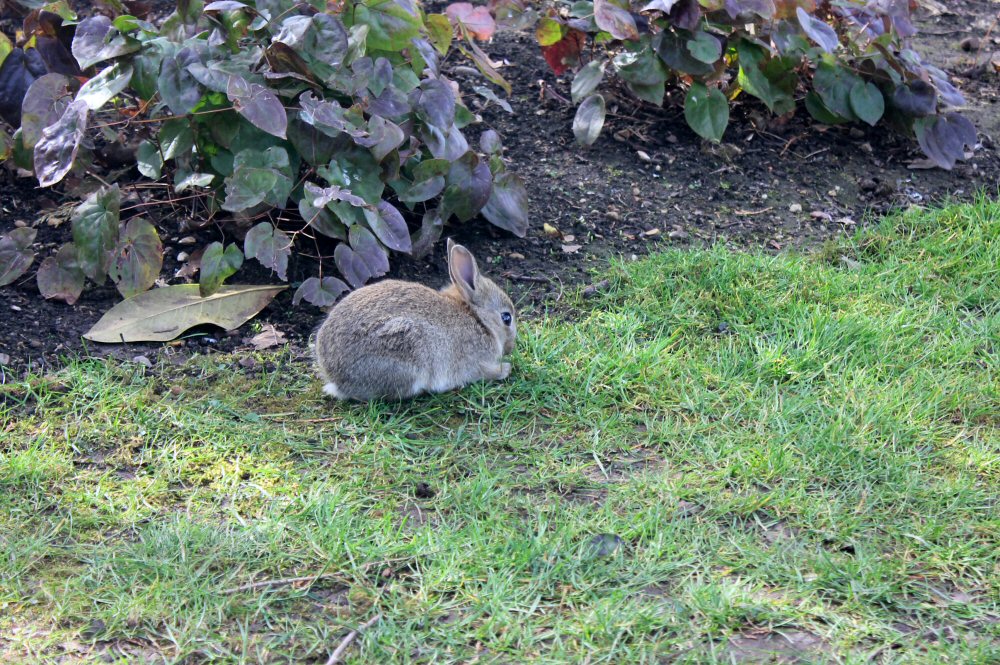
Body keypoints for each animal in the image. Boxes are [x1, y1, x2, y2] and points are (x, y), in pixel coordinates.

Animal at [314, 239, 516, 401]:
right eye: (506, 318)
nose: (510, 348)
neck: (478, 319)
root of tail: (335, 377)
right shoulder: (476, 363)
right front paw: (506, 369)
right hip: (406, 349)